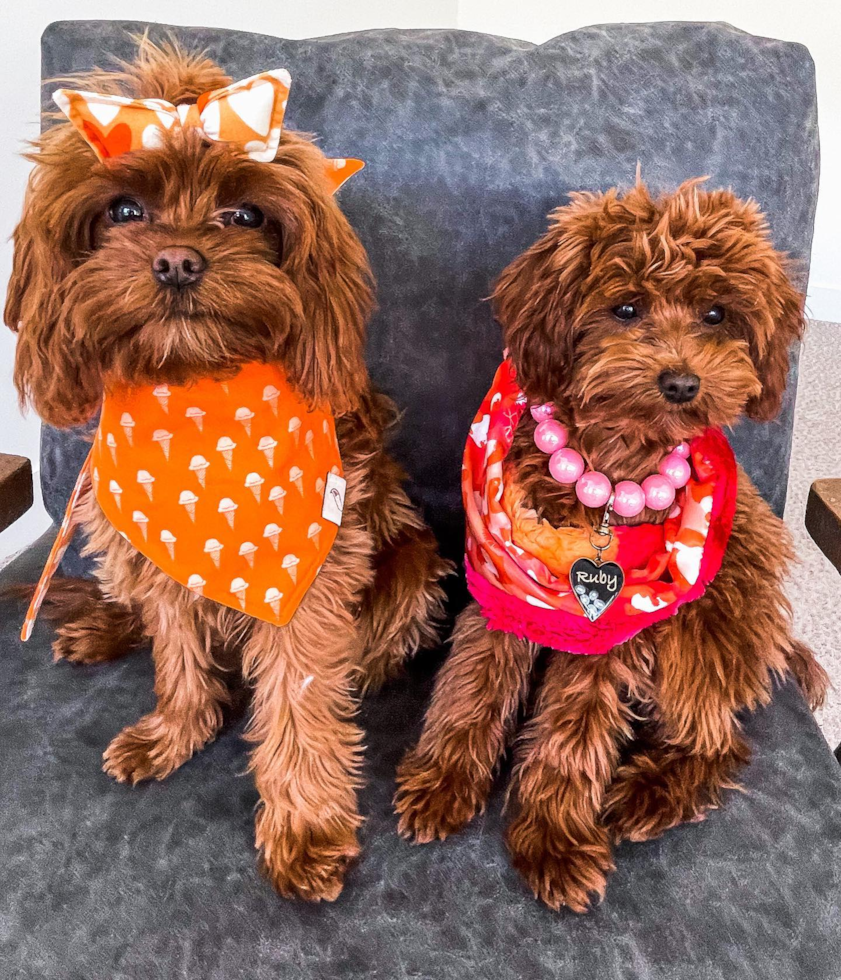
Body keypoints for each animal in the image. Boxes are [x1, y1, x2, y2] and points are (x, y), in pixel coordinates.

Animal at [6, 40, 450, 904]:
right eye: (123, 212)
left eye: (245, 216)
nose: (179, 260)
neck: (194, 390)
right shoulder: (157, 539)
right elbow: (175, 650)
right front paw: (176, 730)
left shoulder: (307, 579)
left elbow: (300, 705)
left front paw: (305, 826)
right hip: (110, 523)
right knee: (136, 604)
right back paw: (105, 626)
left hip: (412, 568)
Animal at [396, 178, 828, 912]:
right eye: (625, 307)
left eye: (716, 314)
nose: (682, 382)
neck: (605, 473)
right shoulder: (505, 583)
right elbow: (473, 684)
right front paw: (444, 779)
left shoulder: (615, 624)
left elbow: (574, 731)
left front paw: (552, 839)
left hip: (706, 620)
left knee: (717, 741)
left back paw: (649, 792)